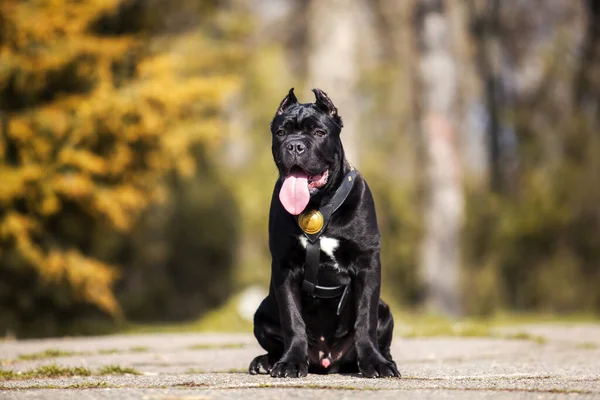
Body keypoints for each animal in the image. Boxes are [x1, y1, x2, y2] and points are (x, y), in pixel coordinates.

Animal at [246, 87, 400, 378]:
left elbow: (365, 320)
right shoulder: (285, 267)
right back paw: (266, 361)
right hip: (261, 314)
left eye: (319, 132)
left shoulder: (367, 264)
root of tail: (327, 360)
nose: (295, 145)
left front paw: (375, 363)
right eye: (281, 132)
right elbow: (292, 320)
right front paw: (291, 362)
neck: (317, 205)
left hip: (386, 311)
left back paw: (385, 360)